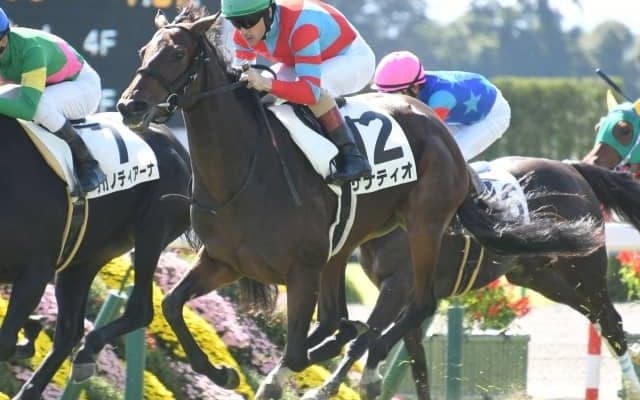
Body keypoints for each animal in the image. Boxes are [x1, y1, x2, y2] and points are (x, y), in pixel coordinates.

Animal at [0, 114, 191, 399]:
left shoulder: (36, 271)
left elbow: (5, 340)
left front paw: (28, 334)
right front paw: (31, 331)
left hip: (153, 229)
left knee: (139, 310)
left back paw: (85, 352)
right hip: (83, 260)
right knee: (70, 332)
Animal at [116, 4, 602, 398]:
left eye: (176, 54)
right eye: (142, 52)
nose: (128, 106)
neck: (244, 171)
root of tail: (434, 125)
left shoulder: (303, 270)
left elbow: (298, 350)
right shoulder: (224, 262)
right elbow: (172, 305)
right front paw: (222, 373)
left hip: (426, 226)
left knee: (419, 305)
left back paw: (366, 353)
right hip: (347, 246)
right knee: (352, 318)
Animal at [300, 157, 640, 400]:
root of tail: (571, 167)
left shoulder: (398, 285)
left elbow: (365, 340)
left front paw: (324, 389)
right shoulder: (406, 296)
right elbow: (417, 366)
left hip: (585, 269)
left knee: (610, 320)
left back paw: (632, 386)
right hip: (540, 276)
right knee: (599, 318)